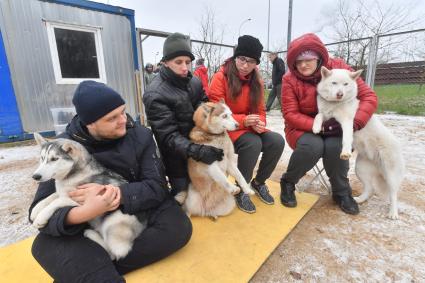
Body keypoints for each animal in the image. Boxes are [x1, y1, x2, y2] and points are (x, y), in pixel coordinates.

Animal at [312, 67, 404, 220]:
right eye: (334, 83)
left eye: (346, 84)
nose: (340, 94)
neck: (335, 105)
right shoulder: (325, 115)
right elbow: (318, 116)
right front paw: (316, 127)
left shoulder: (347, 122)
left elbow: (346, 138)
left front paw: (345, 152)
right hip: (361, 169)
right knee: (370, 189)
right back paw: (360, 199)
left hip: (390, 176)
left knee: (394, 194)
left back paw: (393, 213)